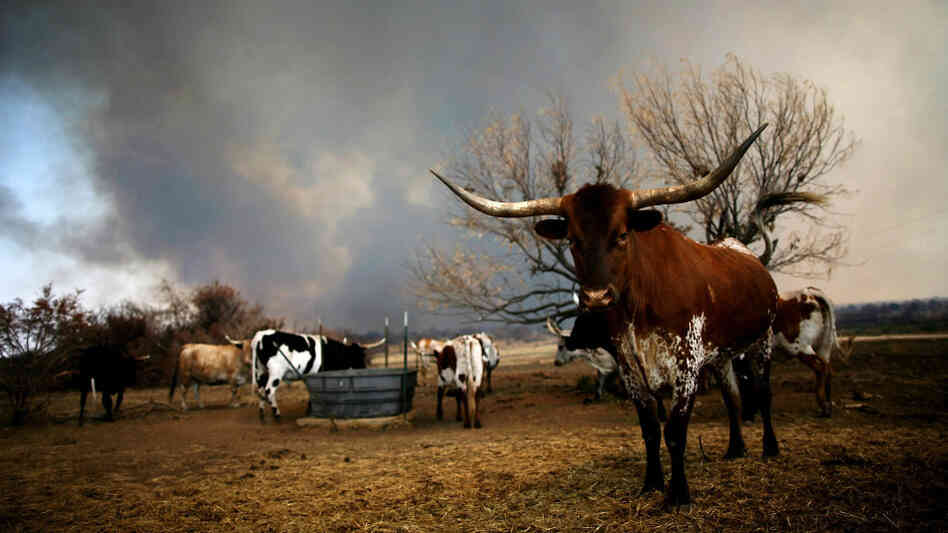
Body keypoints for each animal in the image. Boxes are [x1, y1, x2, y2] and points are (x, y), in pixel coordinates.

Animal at [251, 329, 385, 422]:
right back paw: (277, 415)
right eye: (359, 356)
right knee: (269, 391)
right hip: (276, 372)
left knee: (261, 390)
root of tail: (260, 336)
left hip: (261, 371)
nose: (364, 368)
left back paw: (262, 415)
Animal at [433, 124, 780, 506]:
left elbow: (675, 432)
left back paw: (770, 448)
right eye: (571, 239)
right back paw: (735, 449)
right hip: (721, 355)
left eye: (623, 234)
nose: (596, 297)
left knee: (762, 391)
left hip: (763, 340)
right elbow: (649, 429)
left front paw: (678, 495)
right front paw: (651, 484)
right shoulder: (630, 368)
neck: (637, 309)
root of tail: (748, 256)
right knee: (733, 397)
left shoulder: (686, 366)